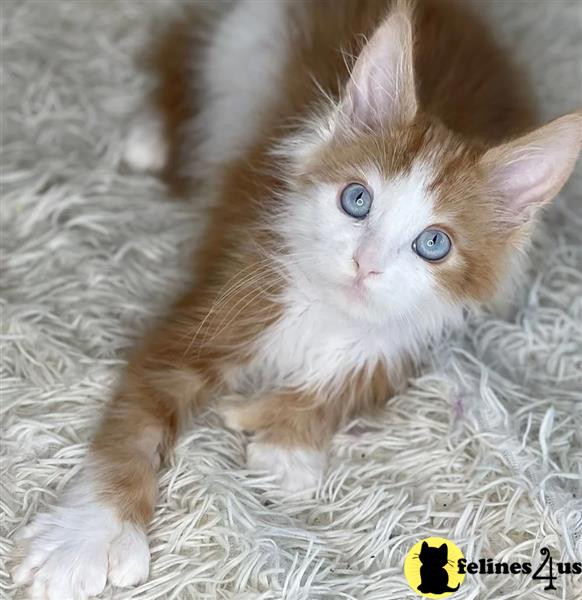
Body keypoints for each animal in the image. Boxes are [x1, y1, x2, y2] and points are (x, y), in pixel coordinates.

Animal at [16, 0, 580, 596]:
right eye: (357, 199)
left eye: (434, 244)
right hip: (242, 34)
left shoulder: (411, 333)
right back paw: (149, 135)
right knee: (186, 48)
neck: (329, 312)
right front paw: (88, 535)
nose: (365, 263)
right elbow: (139, 423)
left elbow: (358, 382)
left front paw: (289, 443)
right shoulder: (231, 292)